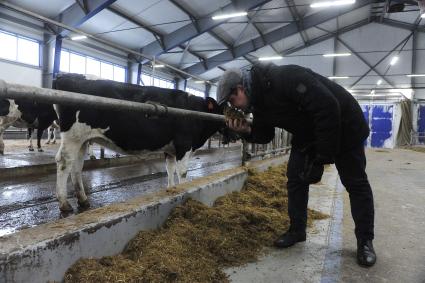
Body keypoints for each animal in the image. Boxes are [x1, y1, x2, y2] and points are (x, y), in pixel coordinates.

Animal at [54, 74, 224, 212]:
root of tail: (63, 76)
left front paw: (171, 190)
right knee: (64, 162)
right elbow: (182, 172)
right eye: (226, 108)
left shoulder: (170, 149)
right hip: (73, 136)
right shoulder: (184, 145)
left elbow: (170, 170)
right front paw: (184, 190)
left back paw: (83, 200)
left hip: (82, 140)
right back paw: (64, 204)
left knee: (76, 166)